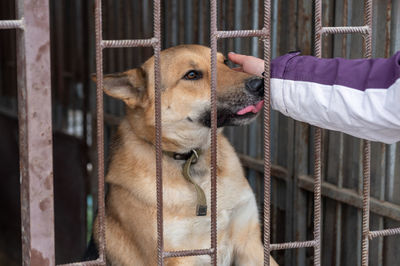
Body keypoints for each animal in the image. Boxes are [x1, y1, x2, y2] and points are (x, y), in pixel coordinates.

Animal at [92, 44, 278, 264]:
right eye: (192, 75)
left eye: (225, 62)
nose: (260, 83)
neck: (192, 158)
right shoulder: (178, 256)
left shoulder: (250, 243)